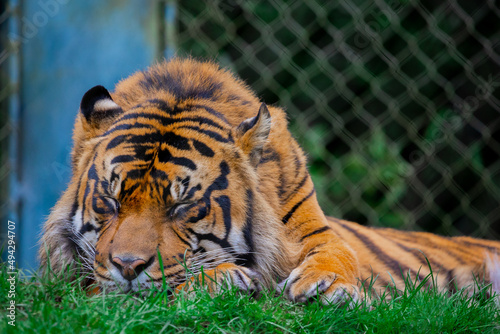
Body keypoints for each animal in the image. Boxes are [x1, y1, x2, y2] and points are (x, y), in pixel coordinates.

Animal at [38, 58, 500, 306]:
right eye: (112, 201)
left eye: (181, 207)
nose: (128, 267)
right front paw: (223, 278)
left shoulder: (319, 233)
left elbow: (340, 255)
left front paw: (325, 286)